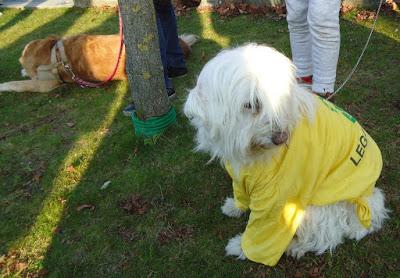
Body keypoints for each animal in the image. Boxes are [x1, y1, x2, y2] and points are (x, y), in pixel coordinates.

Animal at [184, 44, 388, 266]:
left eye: (280, 99)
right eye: (250, 104)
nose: (281, 138)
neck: (253, 153)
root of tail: (369, 197)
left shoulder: (277, 198)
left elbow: (263, 233)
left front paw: (240, 247)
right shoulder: (241, 175)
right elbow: (240, 193)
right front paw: (234, 206)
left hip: (315, 211)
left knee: (328, 237)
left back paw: (295, 247)